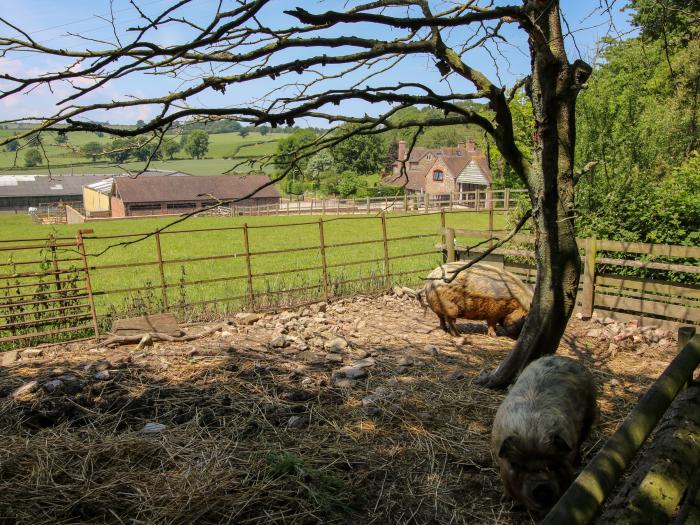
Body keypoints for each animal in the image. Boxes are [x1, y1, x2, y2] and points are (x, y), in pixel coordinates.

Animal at [490, 354, 600, 512]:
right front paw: (506, 500)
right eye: (518, 465)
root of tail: (563, 357)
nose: (541, 488)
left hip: (590, 413)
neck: (532, 431)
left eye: (551, 465)